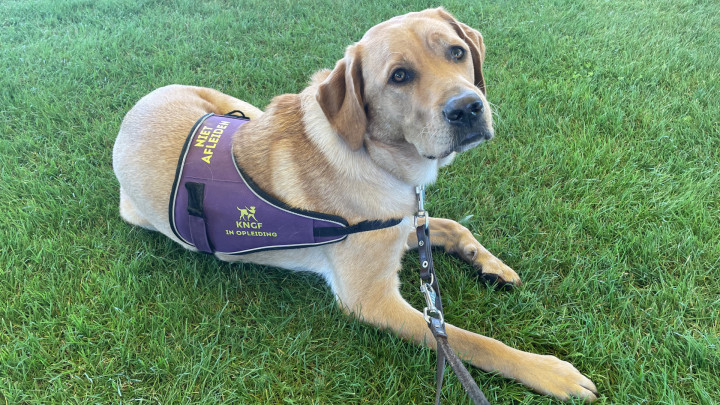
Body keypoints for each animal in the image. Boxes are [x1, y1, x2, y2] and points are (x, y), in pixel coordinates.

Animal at [111, 6, 596, 400]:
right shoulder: (371, 298)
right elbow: (469, 340)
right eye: (399, 76)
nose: (468, 107)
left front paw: (489, 264)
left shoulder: (402, 223)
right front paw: (550, 372)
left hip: (243, 110)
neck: (379, 159)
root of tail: (137, 107)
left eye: (457, 52)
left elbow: (452, 225)